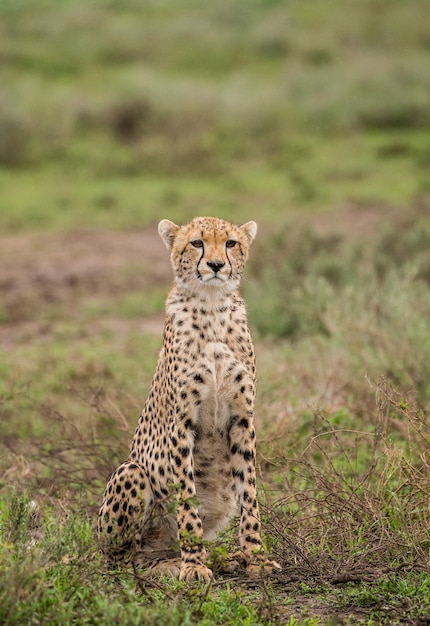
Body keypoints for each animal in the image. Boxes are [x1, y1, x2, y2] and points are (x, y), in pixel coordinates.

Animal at [96, 216, 282, 580]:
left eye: (230, 243)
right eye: (197, 243)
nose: (216, 265)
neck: (211, 307)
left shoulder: (243, 419)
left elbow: (250, 494)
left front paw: (255, 556)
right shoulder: (181, 424)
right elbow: (187, 501)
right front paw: (194, 564)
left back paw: (219, 558)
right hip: (130, 473)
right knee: (124, 561)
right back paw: (173, 563)